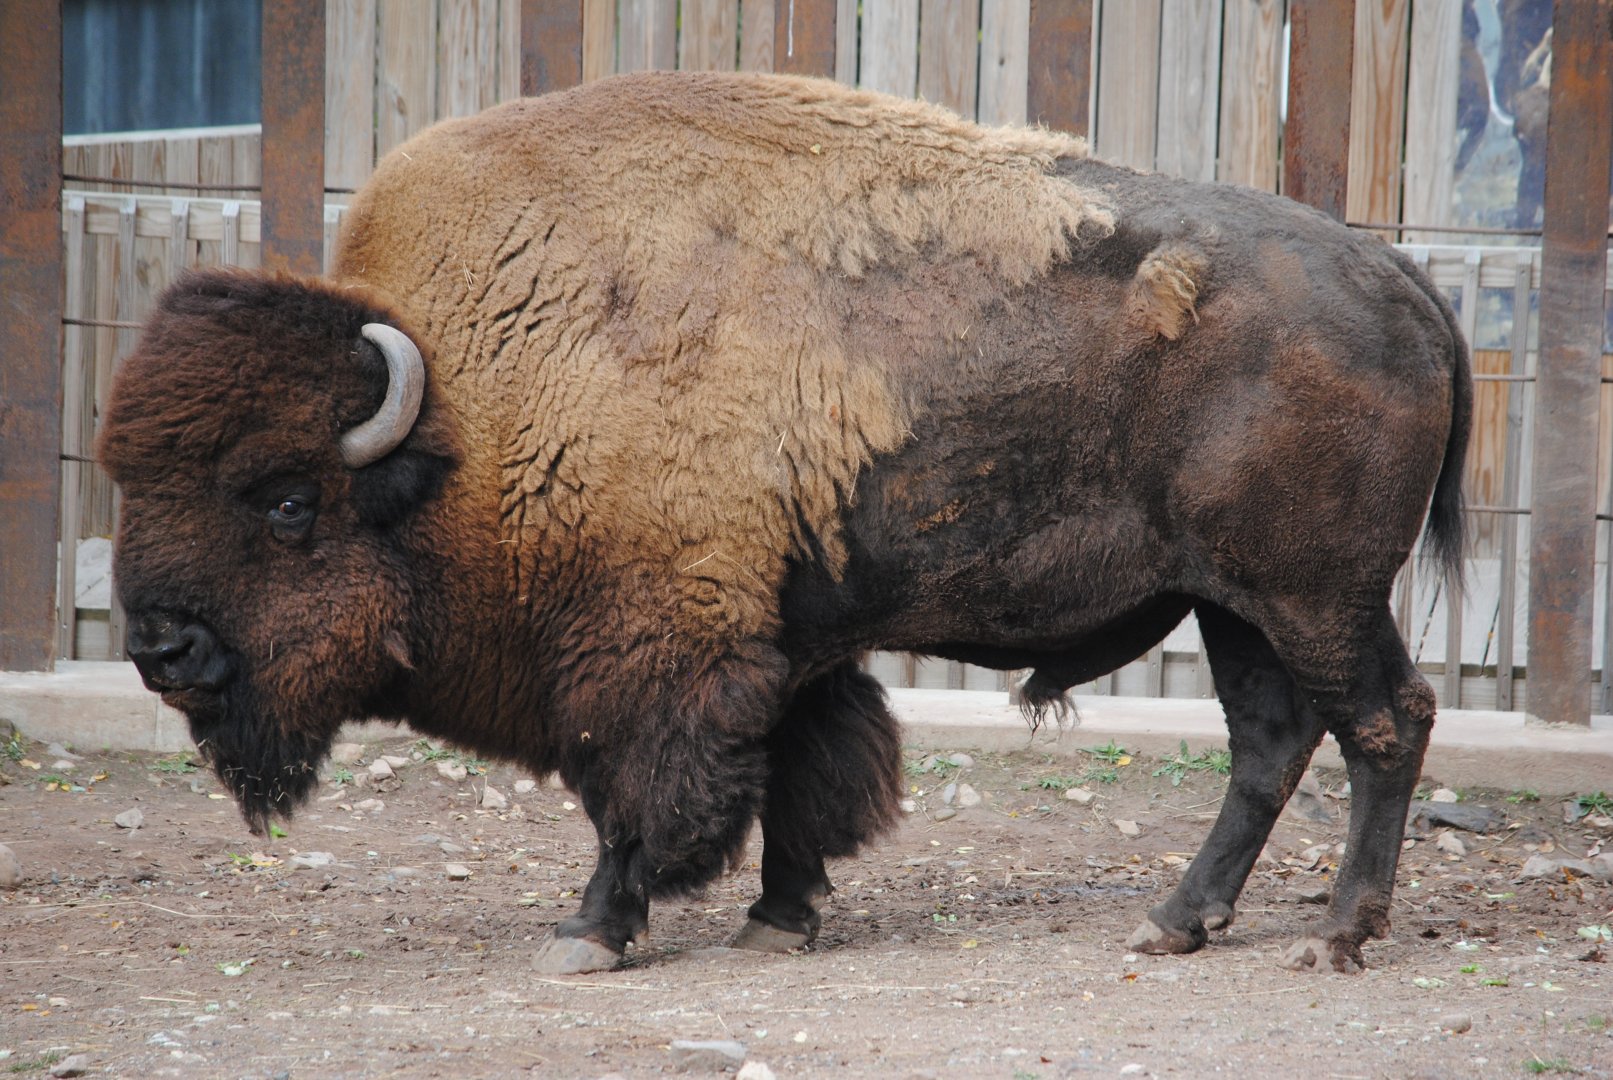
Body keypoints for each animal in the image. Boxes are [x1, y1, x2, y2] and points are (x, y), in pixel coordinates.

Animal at [101, 72, 1471, 976]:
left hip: (1310, 596)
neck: (465, 403)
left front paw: (588, 936)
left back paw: (1335, 936)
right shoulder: (788, 644)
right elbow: (803, 775)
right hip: (1231, 603)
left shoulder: (653, 654)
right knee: (1271, 744)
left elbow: (639, 794)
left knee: (1383, 723)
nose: (159, 648)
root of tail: (1393, 273)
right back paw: (1175, 922)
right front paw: (781, 918)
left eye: (285, 501)